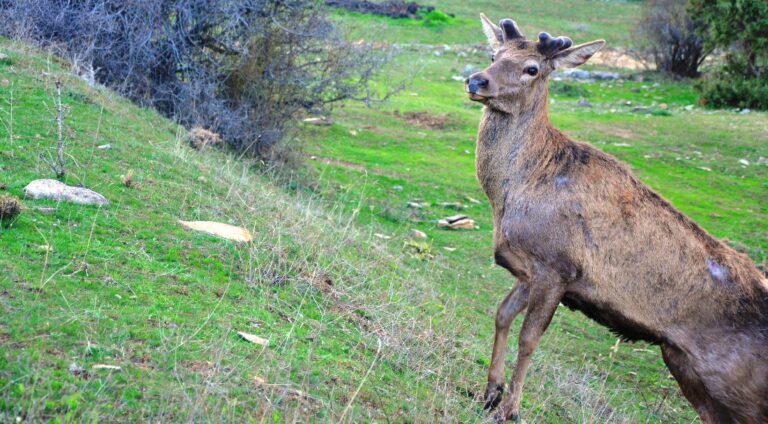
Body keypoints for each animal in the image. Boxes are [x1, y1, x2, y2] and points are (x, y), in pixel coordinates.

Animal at [464, 14, 768, 424]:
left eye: (532, 69)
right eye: (494, 55)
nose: (476, 81)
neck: (511, 194)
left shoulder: (557, 266)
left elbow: (530, 338)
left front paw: (509, 409)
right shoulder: (530, 268)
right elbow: (502, 314)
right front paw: (488, 393)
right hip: (688, 369)